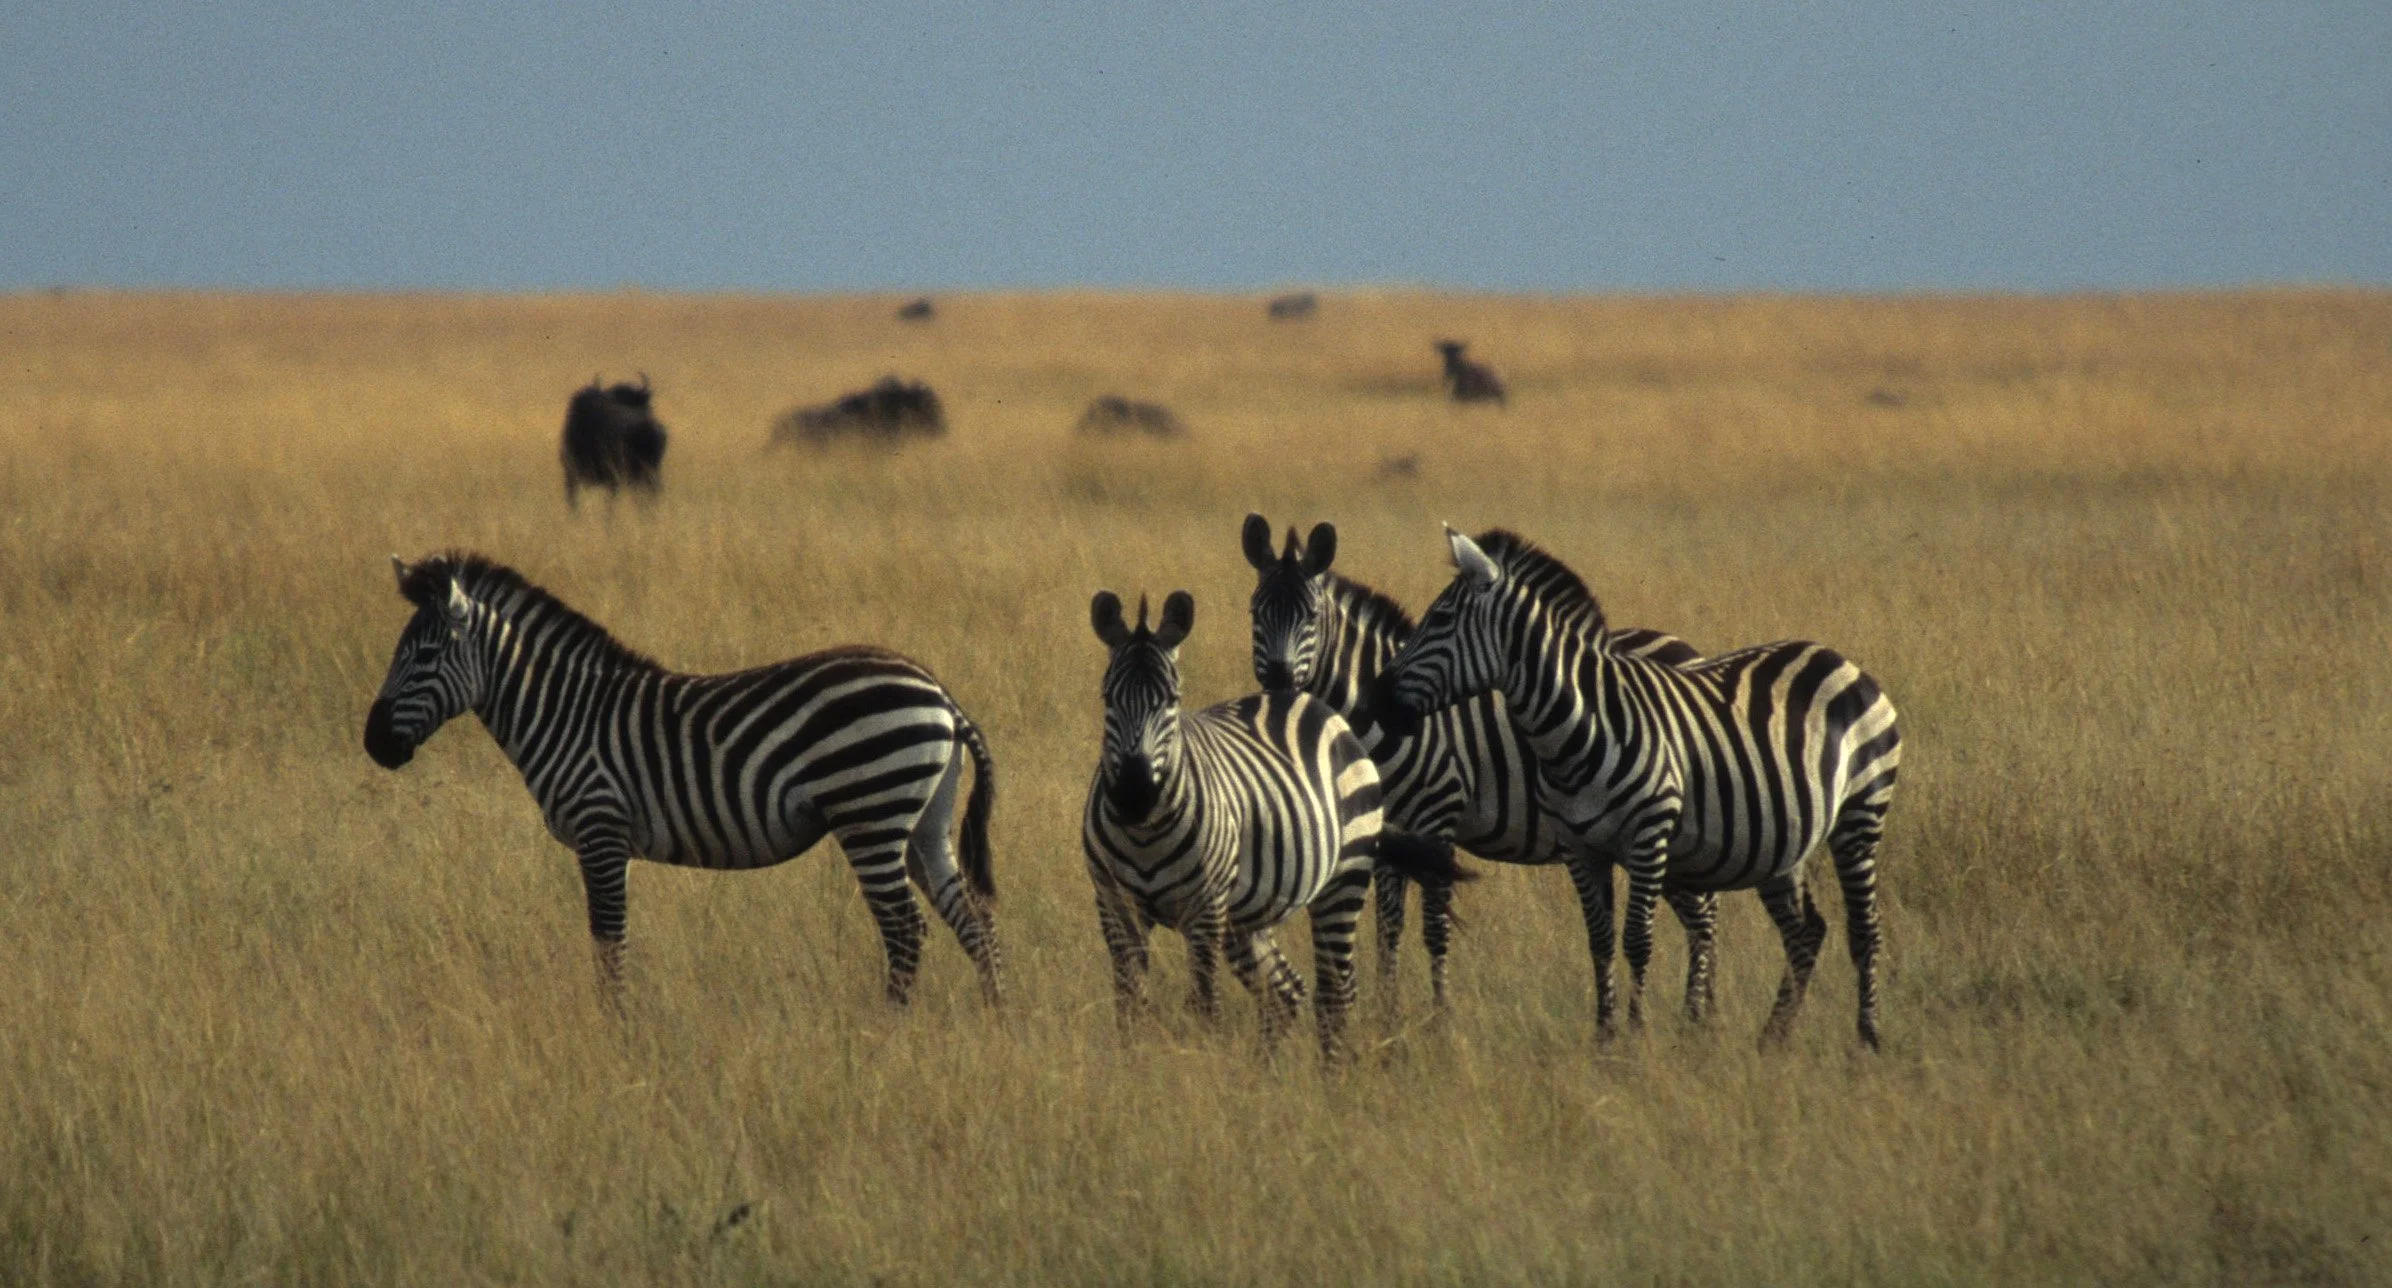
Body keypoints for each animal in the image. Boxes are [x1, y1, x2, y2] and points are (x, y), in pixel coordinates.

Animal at [362, 552, 1003, 1011]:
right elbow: (611, 941)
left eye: (423, 657)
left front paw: (616, 1032)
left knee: (906, 929)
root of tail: (940, 694)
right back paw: (996, 1022)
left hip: (870, 813)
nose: (373, 744)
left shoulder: (600, 828)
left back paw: (888, 1031)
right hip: (923, 824)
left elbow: (608, 942)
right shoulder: (612, 841)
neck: (566, 713)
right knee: (973, 919)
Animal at [1082, 588, 1470, 1059]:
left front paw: (1200, 1065)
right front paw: (1132, 1065)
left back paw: (1332, 1073)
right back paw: (1267, 1072)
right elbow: (1129, 1008)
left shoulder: (1205, 912)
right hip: (1247, 914)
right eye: (1107, 697)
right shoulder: (1115, 907)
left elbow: (1204, 1007)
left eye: (1173, 698)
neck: (1144, 835)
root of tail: (1307, 701)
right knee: (1286, 992)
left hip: (1342, 882)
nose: (1134, 795)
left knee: (1336, 995)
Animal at [1243, 514, 1723, 1025]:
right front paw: (1388, 1016)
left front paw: (1439, 1018)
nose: (1277, 682)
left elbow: (1434, 927)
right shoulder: (1388, 828)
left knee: (1704, 917)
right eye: (1255, 613)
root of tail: (1687, 649)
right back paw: (1705, 1013)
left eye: (1311, 617)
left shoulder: (1437, 814)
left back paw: (1699, 1015)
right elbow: (1387, 927)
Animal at [1370, 528, 1901, 1048]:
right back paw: (1773, 1038)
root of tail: (1836, 657)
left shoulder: (1647, 837)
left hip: (1860, 815)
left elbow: (1637, 940)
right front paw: (1605, 1040)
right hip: (1781, 841)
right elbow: (1600, 941)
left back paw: (1866, 1039)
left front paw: (1636, 1034)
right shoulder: (1580, 849)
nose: (1374, 702)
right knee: (1805, 930)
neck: (1579, 730)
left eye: (1440, 619)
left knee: (1863, 930)